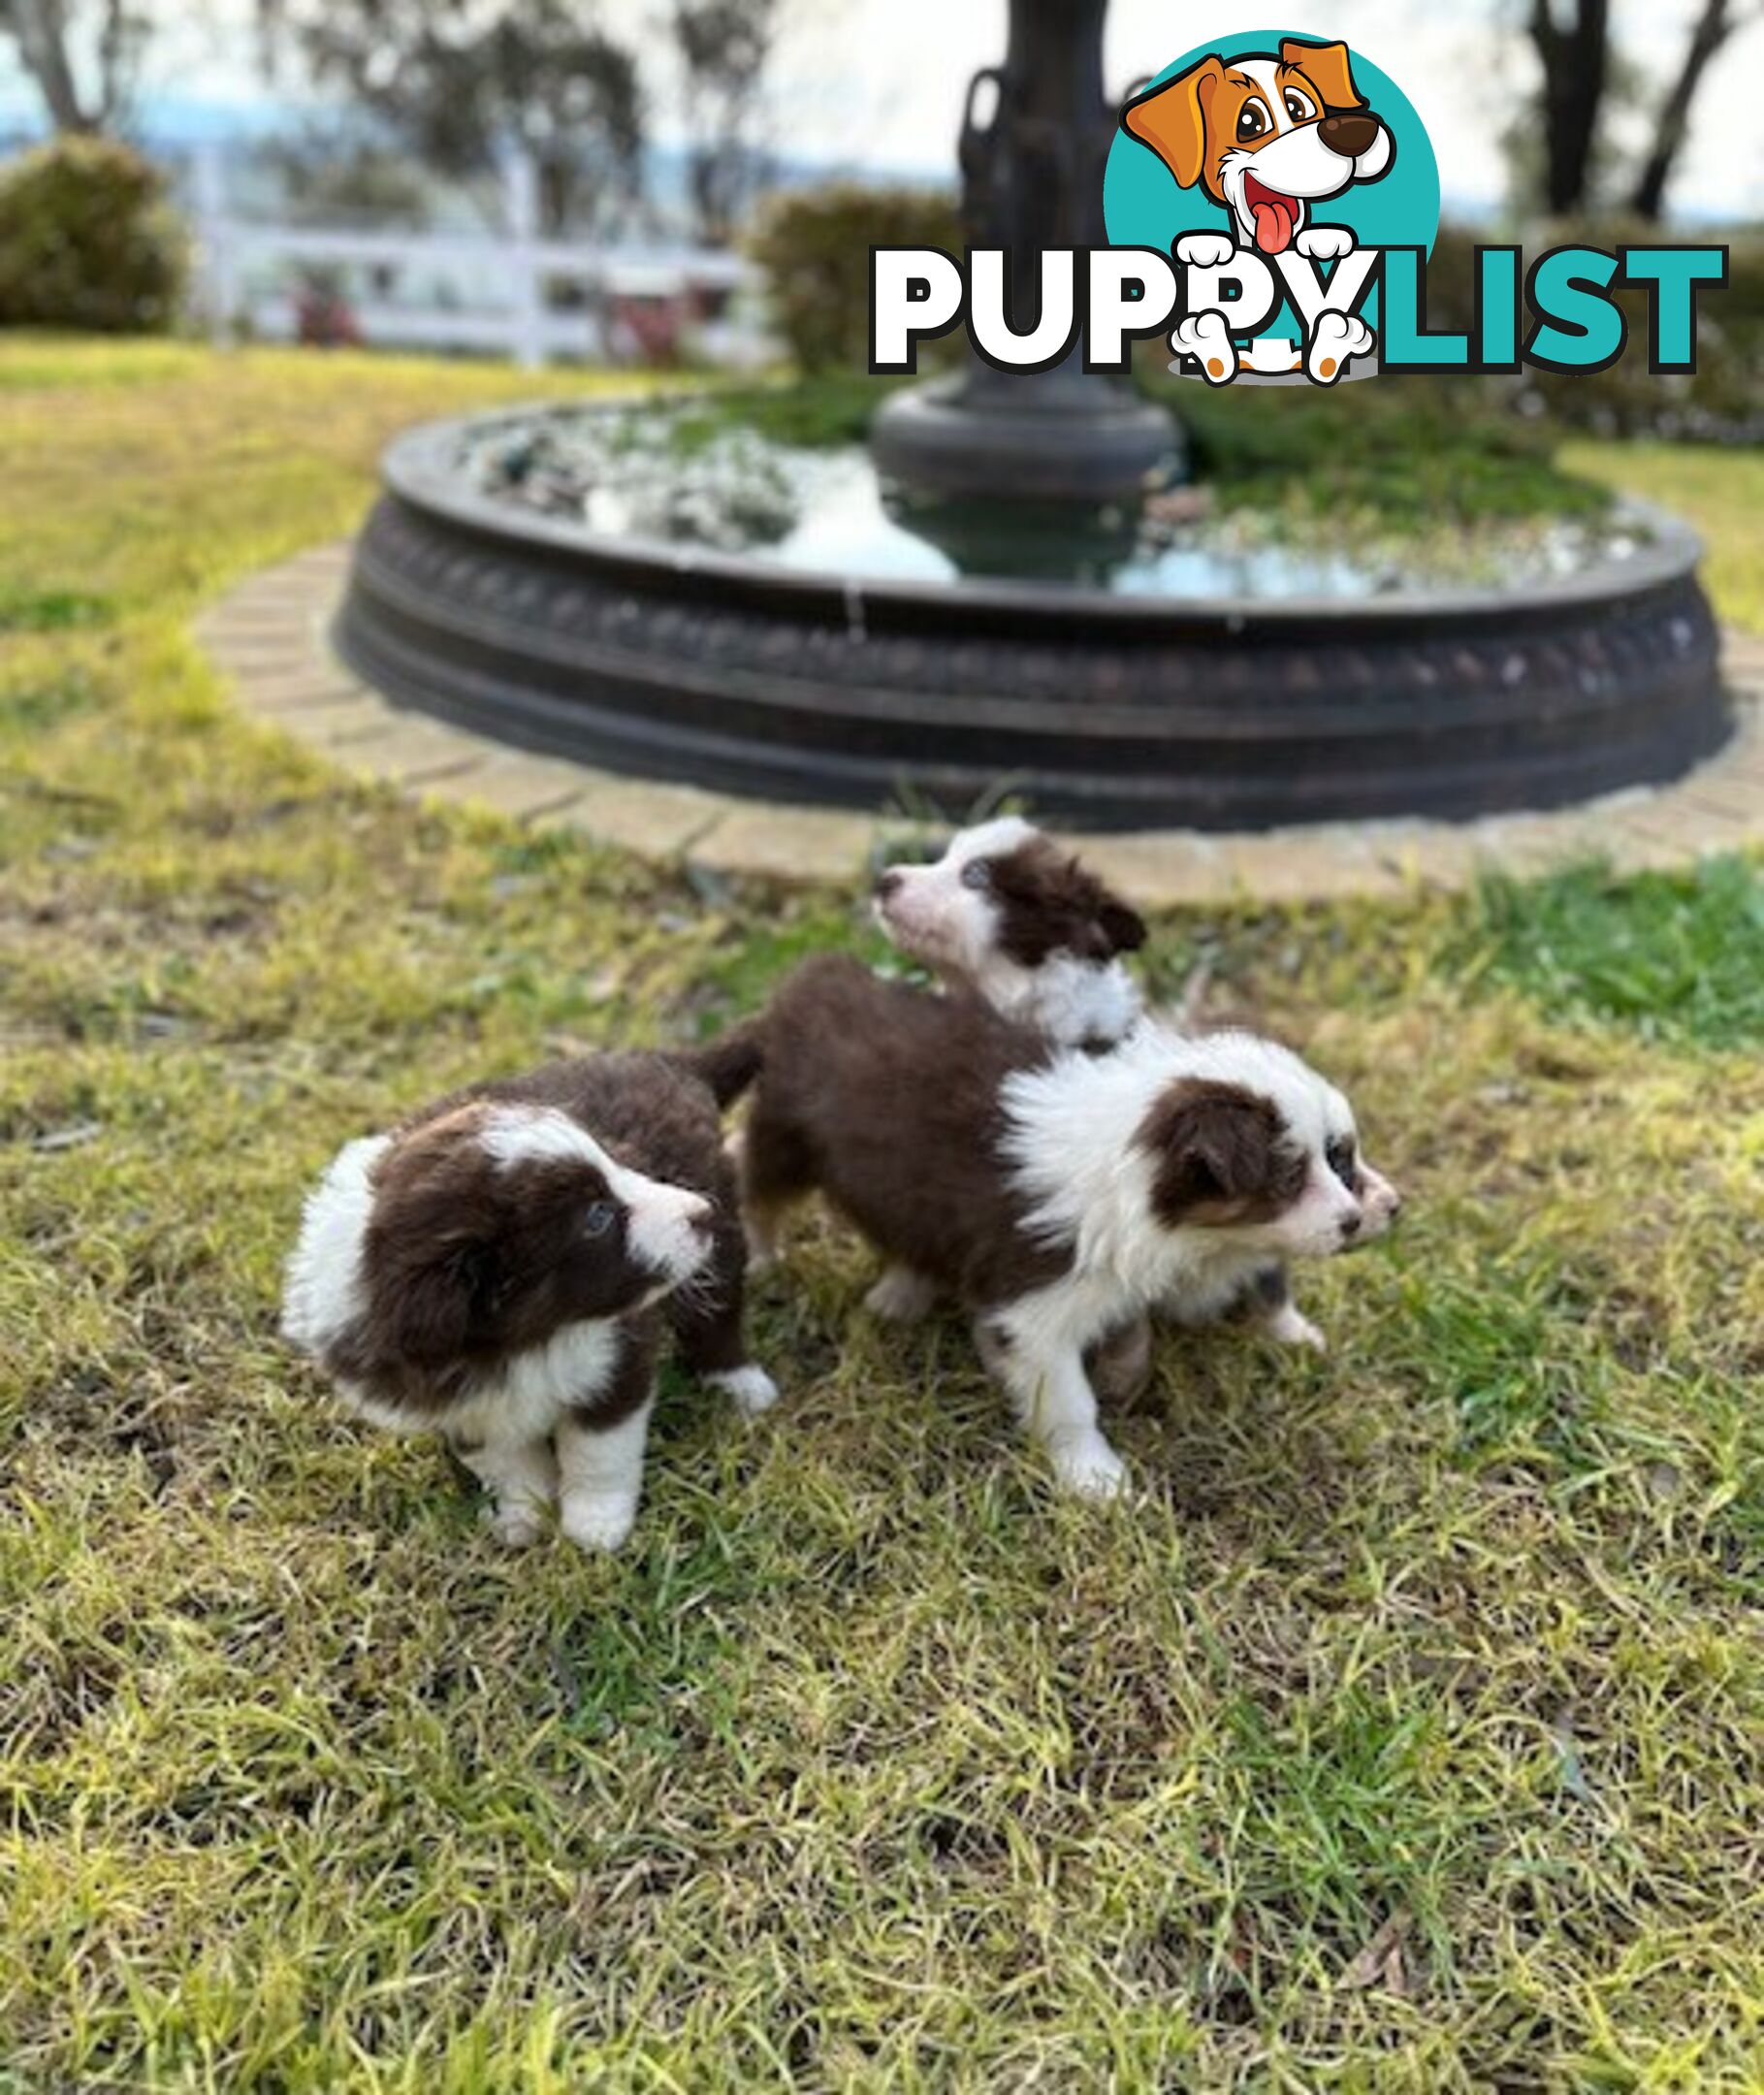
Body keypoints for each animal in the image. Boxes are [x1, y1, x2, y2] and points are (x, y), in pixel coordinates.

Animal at [278, 1055, 775, 1550]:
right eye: (597, 1217)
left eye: (615, 1163)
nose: (699, 1212)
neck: (526, 1338)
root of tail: (665, 1062)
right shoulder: (454, 1404)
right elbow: (507, 1462)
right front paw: (525, 1517)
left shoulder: (616, 1358)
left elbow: (598, 1448)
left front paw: (595, 1525)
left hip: (719, 1234)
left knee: (717, 1310)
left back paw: (740, 1383)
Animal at [708, 959, 1399, 1499]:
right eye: (1292, 1175)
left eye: (1341, 1153)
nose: (1387, 1209)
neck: (1135, 1162)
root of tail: (814, 979)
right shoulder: (1037, 1304)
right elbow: (1069, 1400)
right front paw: (1096, 1480)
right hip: (788, 1135)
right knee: (757, 1181)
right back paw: (764, 1257)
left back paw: (902, 1290)